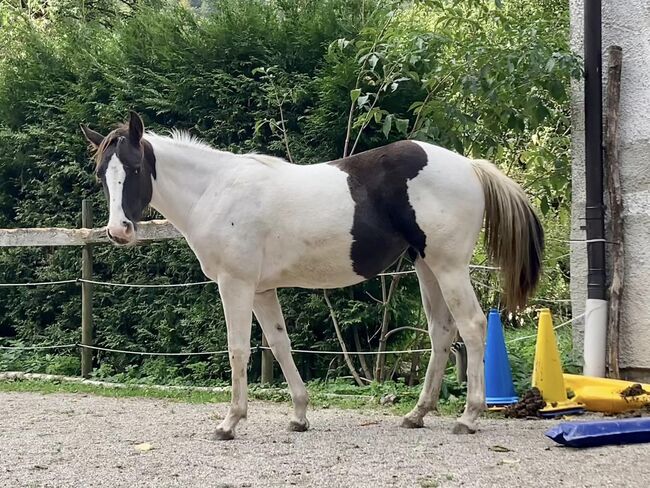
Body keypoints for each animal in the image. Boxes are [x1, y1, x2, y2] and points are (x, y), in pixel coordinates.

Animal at [78, 112, 540, 440]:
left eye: (135, 169)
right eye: (102, 174)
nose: (118, 231)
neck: (215, 190)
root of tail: (469, 166)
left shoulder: (236, 285)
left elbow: (238, 349)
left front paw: (230, 423)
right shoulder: (262, 291)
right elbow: (280, 346)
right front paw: (299, 415)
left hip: (449, 267)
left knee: (473, 326)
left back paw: (469, 417)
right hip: (426, 266)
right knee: (442, 331)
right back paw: (417, 414)